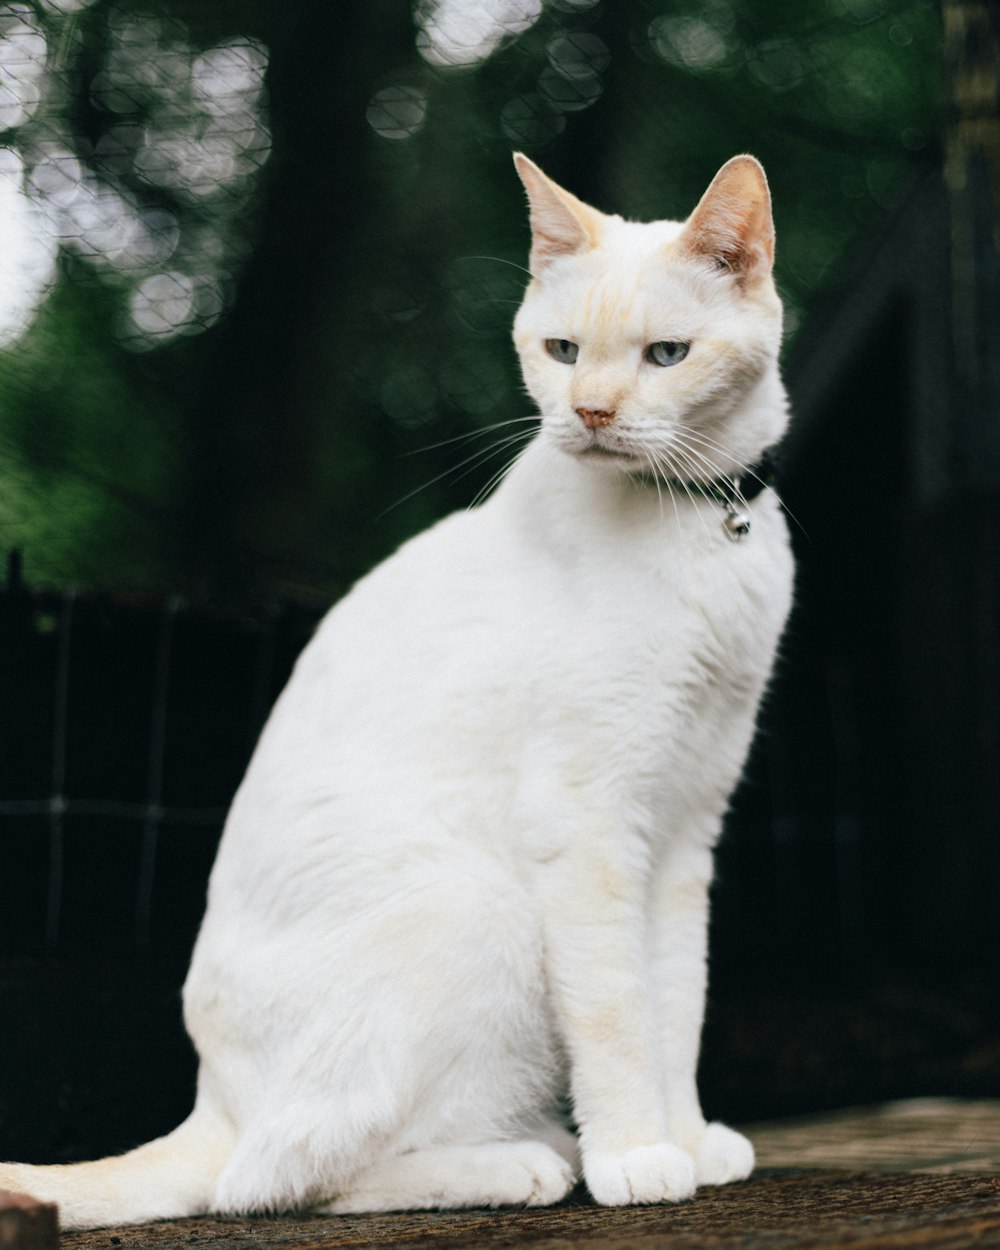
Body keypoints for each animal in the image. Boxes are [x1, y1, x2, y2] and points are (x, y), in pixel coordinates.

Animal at [1, 151, 795, 1225]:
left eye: (666, 355)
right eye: (561, 350)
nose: (587, 412)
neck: (701, 521)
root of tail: (215, 1103)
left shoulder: (682, 832)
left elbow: (677, 1005)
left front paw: (688, 1138)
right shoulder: (589, 828)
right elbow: (619, 1015)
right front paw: (637, 1154)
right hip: (486, 909)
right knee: (277, 1180)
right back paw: (532, 1163)